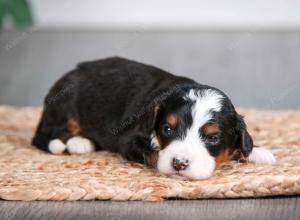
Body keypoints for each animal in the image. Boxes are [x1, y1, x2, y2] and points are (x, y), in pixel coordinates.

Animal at [31, 56, 276, 179]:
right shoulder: (129, 139)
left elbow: (243, 143)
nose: (179, 164)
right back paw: (78, 143)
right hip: (66, 106)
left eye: (212, 138)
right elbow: (153, 153)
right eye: (167, 129)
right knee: (48, 134)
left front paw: (257, 152)